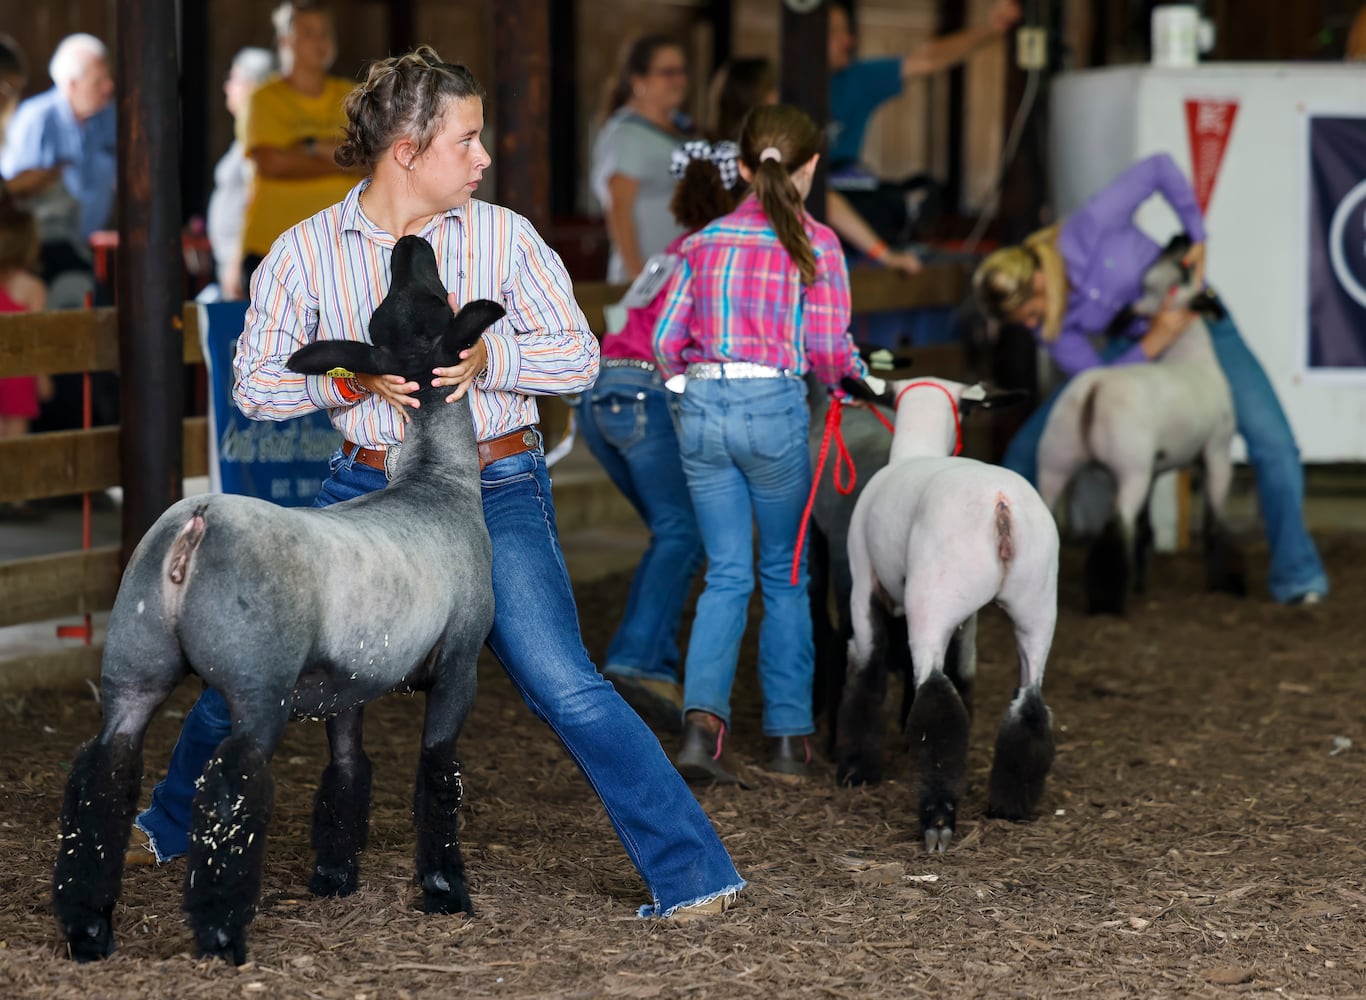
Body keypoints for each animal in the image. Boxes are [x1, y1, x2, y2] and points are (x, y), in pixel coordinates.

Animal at [830, 374, 1054, 852]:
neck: (917, 449)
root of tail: (1002, 506)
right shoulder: (968, 620)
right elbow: (964, 674)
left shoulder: (863, 581)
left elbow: (867, 670)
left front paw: (856, 768)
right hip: (1036, 605)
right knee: (1030, 701)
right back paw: (1012, 804)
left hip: (931, 602)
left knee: (935, 698)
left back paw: (937, 819)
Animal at [1032, 240, 1251, 617]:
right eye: (1184, 271)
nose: (1179, 239)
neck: (1189, 357)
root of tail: (1093, 389)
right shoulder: (1217, 452)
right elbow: (1215, 523)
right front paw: (1224, 583)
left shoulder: (1155, 468)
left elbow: (1147, 529)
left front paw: (1141, 583)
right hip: (1129, 467)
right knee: (1117, 524)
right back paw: (1108, 604)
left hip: (1056, 459)